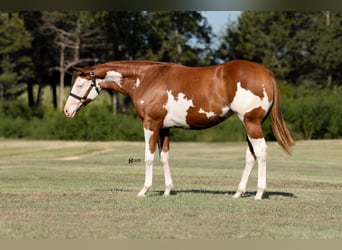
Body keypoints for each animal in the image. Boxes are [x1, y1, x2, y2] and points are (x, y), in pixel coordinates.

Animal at [64, 59, 294, 200]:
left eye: (79, 85)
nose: (67, 110)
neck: (146, 78)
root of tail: (267, 73)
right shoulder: (164, 128)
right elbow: (164, 157)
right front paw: (167, 190)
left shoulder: (151, 124)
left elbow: (148, 157)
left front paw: (144, 190)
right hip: (250, 124)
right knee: (251, 156)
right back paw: (239, 192)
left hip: (251, 122)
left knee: (261, 152)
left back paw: (259, 193)